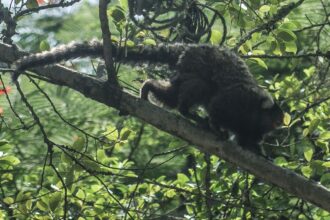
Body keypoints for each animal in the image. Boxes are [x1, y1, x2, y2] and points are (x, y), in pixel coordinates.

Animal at [12, 40, 284, 152]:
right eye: (275, 119)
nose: (280, 127)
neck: (253, 113)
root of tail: (188, 48)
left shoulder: (251, 127)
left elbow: (249, 140)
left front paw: (258, 151)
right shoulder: (236, 102)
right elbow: (217, 107)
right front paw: (217, 128)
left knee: (174, 94)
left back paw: (149, 88)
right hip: (196, 64)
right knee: (201, 88)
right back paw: (190, 114)